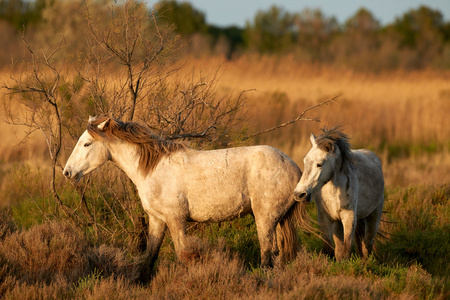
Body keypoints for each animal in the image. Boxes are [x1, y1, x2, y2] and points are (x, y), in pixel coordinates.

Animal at [64, 115, 310, 270]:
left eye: (86, 144)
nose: (67, 172)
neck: (154, 169)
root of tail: (296, 169)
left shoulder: (176, 219)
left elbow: (183, 255)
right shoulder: (157, 220)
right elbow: (149, 257)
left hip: (265, 219)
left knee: (268, 255)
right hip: (278, 220)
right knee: (277, 256)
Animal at [294, 126, 384, 260]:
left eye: (319, 164)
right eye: (305, 161)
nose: (299, 194)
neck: (333, 192)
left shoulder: (349, 217)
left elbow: (346, 250)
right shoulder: (324, 217)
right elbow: (331, 250)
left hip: (374, 216)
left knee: (367, 244)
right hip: (338, 223)